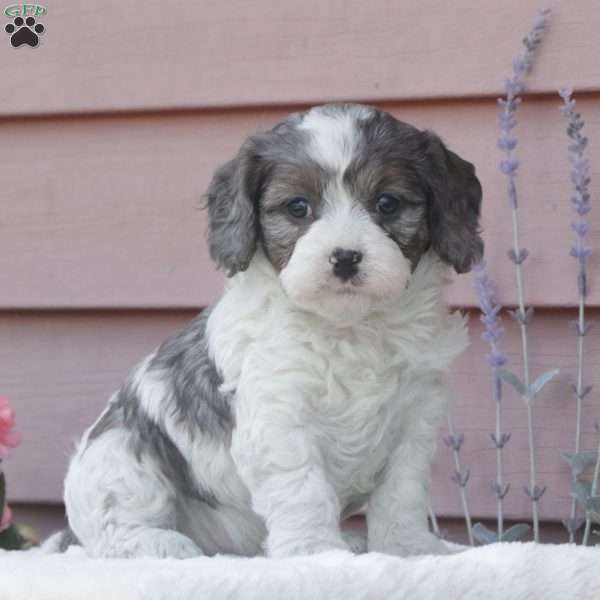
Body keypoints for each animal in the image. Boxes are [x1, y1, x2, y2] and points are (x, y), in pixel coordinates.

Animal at [62, 103, 482, 556]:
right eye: (298, 207)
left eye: (387, 203)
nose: (345, 257)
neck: (349, 328)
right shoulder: (279, 417)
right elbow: (303, 490)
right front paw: (316, 553)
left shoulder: (414, 420)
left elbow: (401, 495)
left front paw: (408, 549)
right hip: (119, 456)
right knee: (117, 525)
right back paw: (162, 544)